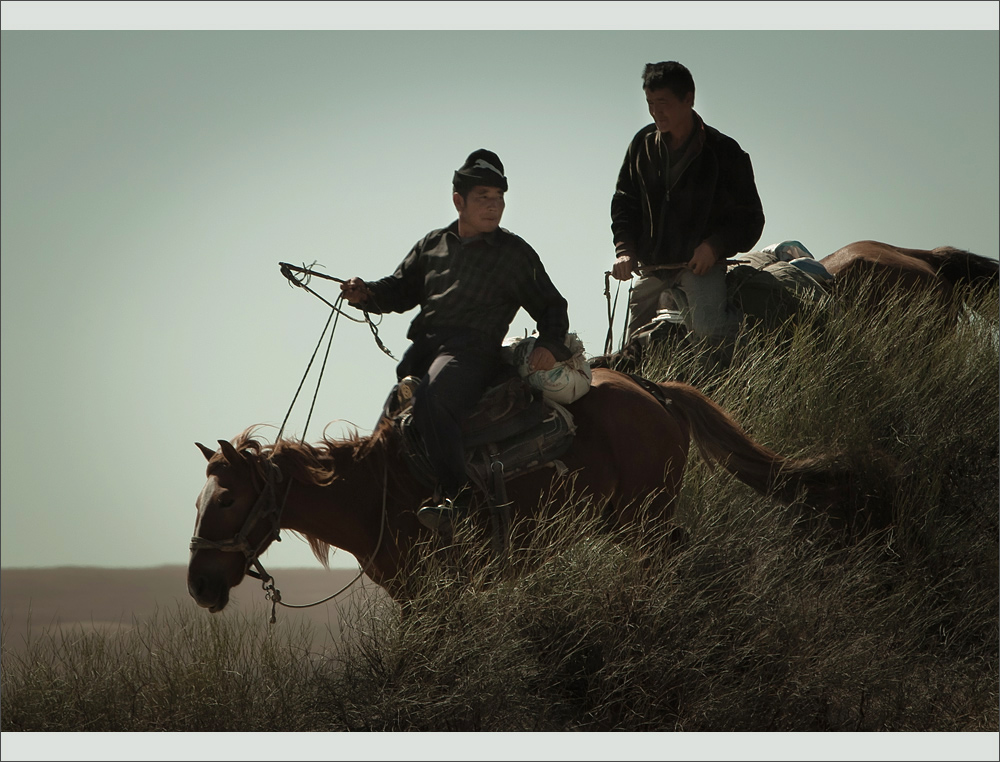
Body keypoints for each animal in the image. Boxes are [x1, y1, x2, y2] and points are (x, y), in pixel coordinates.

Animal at [188, 366, 852, 608]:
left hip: (646, 515)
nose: (198, 586)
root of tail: (652, 390)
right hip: (627, 518)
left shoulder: (435, 595)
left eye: (227, 499)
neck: (375, 492)